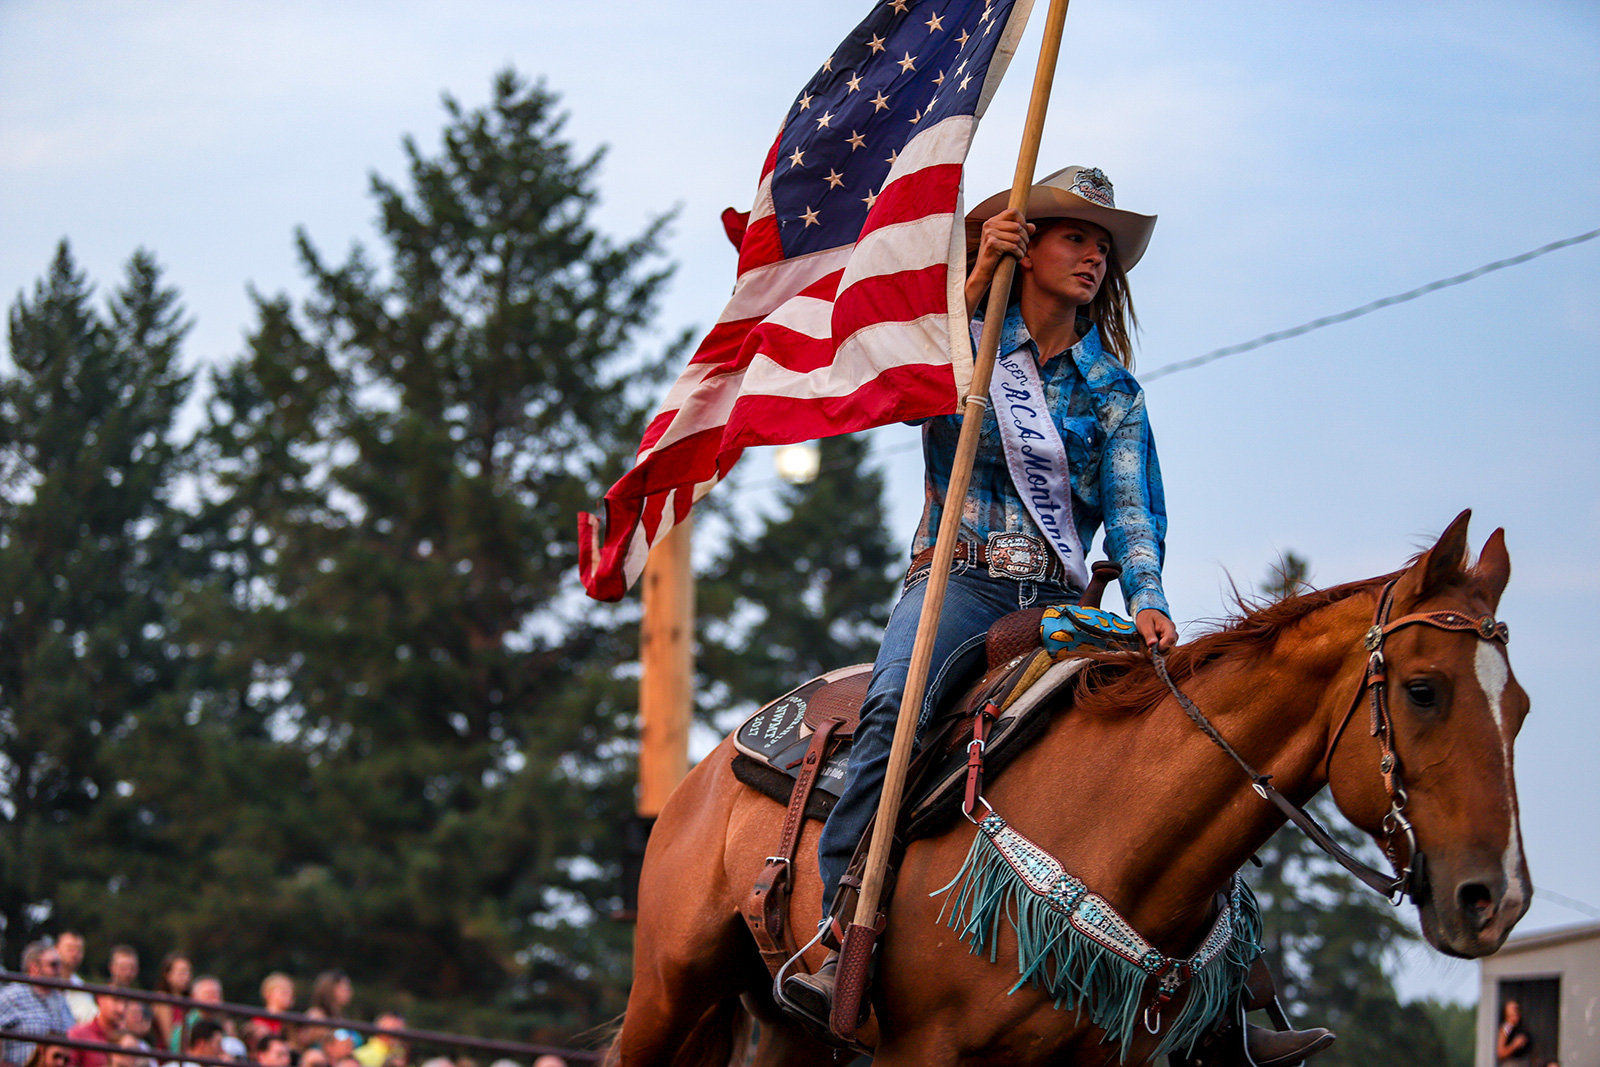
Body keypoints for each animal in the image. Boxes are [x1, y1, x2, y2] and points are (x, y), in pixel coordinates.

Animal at [608, 511, 1523, 1062]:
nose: (1495, 898)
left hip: (788, 1030)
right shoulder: (918, 1048)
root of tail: (707, 772)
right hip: (669, 991)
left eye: (1520, 706)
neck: (1118, 825)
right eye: (1424, 689)